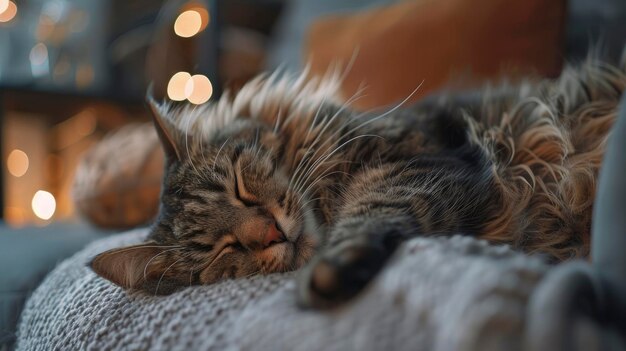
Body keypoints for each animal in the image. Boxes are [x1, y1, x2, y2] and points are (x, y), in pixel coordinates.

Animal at [90, 62, 620, 310]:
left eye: (240, 186)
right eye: (223, 249)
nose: (272, 233)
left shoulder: (424, 160)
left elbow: (370, 210)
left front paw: (331, 267)